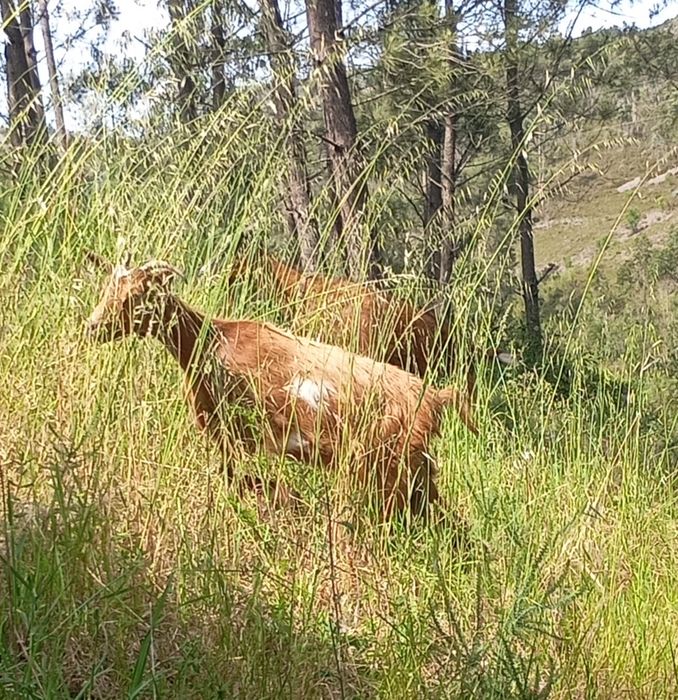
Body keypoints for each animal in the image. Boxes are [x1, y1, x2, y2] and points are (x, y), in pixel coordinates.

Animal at [85, 254, 478, 519]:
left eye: (135, 296)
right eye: (106, 289)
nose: (93, 326)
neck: (209, 342)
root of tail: (435, 397)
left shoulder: (240, 435)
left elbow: (244, 480)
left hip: (384, 467)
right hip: (416, 470)